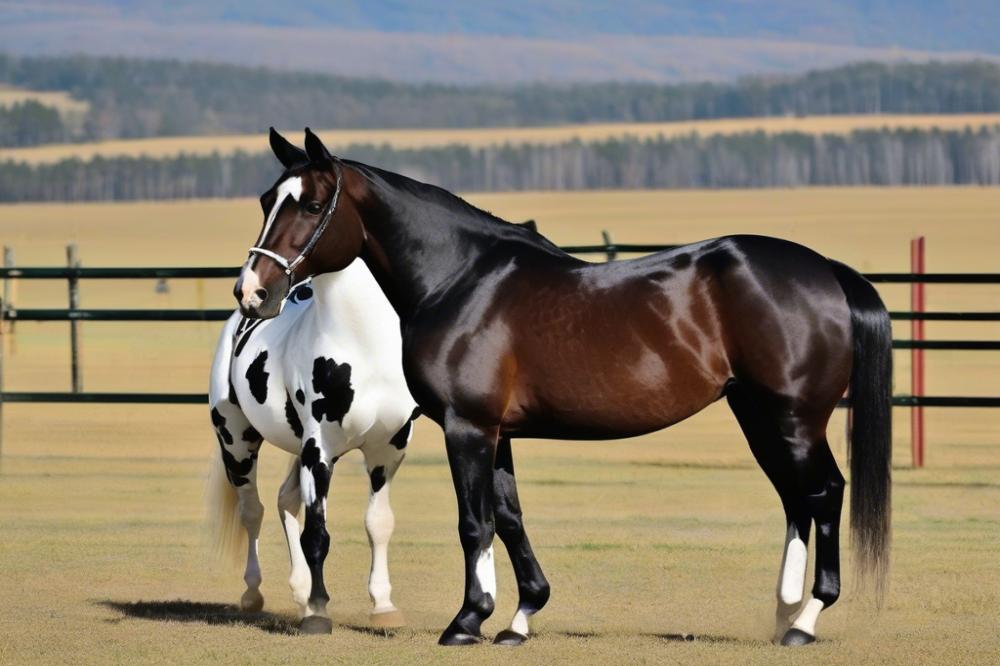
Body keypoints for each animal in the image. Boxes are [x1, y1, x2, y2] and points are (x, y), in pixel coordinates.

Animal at [207, 252, 418, 632]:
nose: (253, 291)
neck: (362, 344)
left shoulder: (386, 449)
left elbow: (379, 523)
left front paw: (383, 606)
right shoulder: (319, 450)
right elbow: (317, 533)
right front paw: (319, 611)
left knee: (284, 500)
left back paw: (301, 591)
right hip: (237, 441)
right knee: (253, 511)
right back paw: (253, 593)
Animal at [234, 128, 892, 644]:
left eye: (312, 205)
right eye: (267, 200)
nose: (252, 292)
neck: (462, 281)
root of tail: (824, 270)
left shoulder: (466, 427)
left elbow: (473, 523)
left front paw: (466, 622)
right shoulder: (496, 433)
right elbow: (508, 518)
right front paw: (518, 618)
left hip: (795, 419)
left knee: (825, 493)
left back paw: (805, 620)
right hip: (760, 416)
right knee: (795, 499)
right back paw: (784, 613)